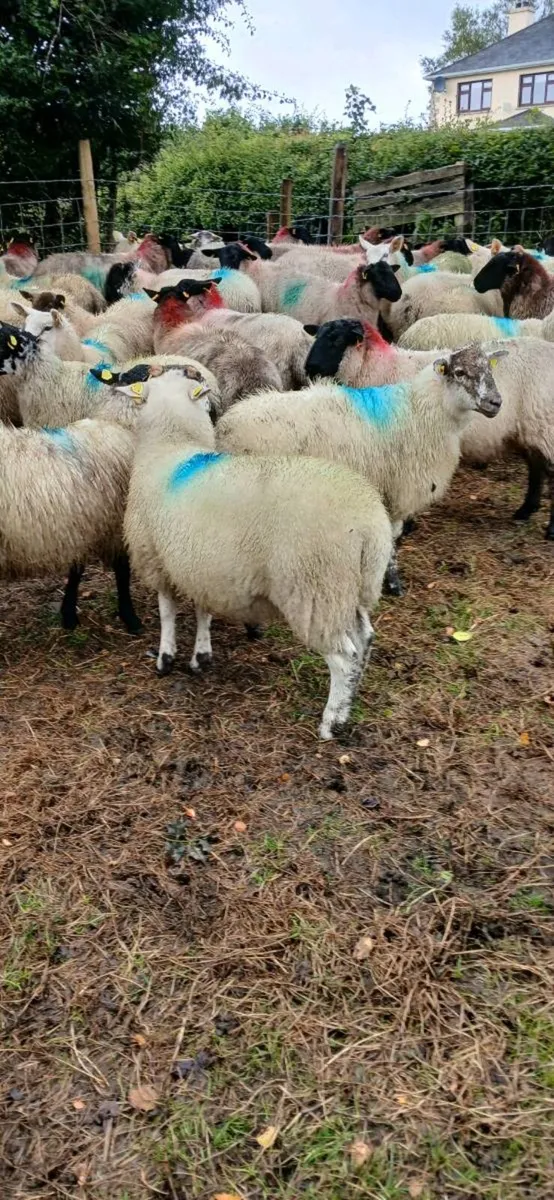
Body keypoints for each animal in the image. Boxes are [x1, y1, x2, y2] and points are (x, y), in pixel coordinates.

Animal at [111, 361, 394, 740]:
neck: (172, 447)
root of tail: (369, 524)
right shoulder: (199, 563)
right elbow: (203, 611)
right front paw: (201, 656)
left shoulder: (156, 557)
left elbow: (167, 612)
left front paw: (165, 658)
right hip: (348, 591)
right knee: (364, 641)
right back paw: (349, 703)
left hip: (314, 590)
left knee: (343, 657)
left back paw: (331, 721)